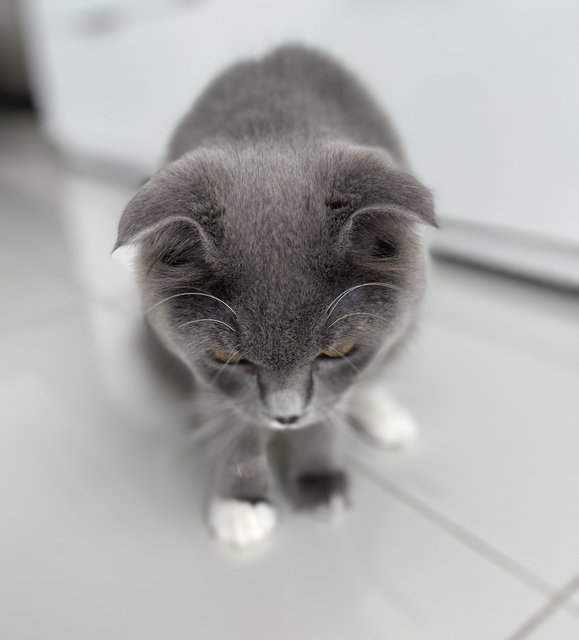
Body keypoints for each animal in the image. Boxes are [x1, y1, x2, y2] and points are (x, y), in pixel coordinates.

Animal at [113, 42, 436, 548]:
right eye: (228, 358)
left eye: (337, 351)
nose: (286, 417)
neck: (275, 131)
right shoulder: (203, 368)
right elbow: (234, 416)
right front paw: (242, 503)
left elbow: (331, 408)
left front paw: (320, 483)